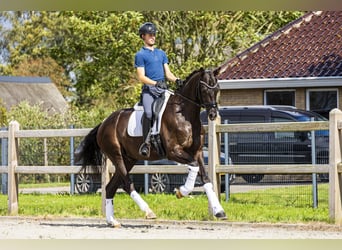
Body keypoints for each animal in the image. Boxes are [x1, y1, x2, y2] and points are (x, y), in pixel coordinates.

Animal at [76, 66, 228, 227]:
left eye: (217, 89)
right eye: (204, 89)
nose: (213, 114)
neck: (184, 116)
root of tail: (104, 123)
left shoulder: (197, 152)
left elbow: (205, 178)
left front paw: (219, 211)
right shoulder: (173, 151)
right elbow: (193, 166)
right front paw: (182, 191)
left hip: (129, 159)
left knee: (110, 187)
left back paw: (112, 221)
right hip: (117, 156)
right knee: (127, 184)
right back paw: (148, 212)